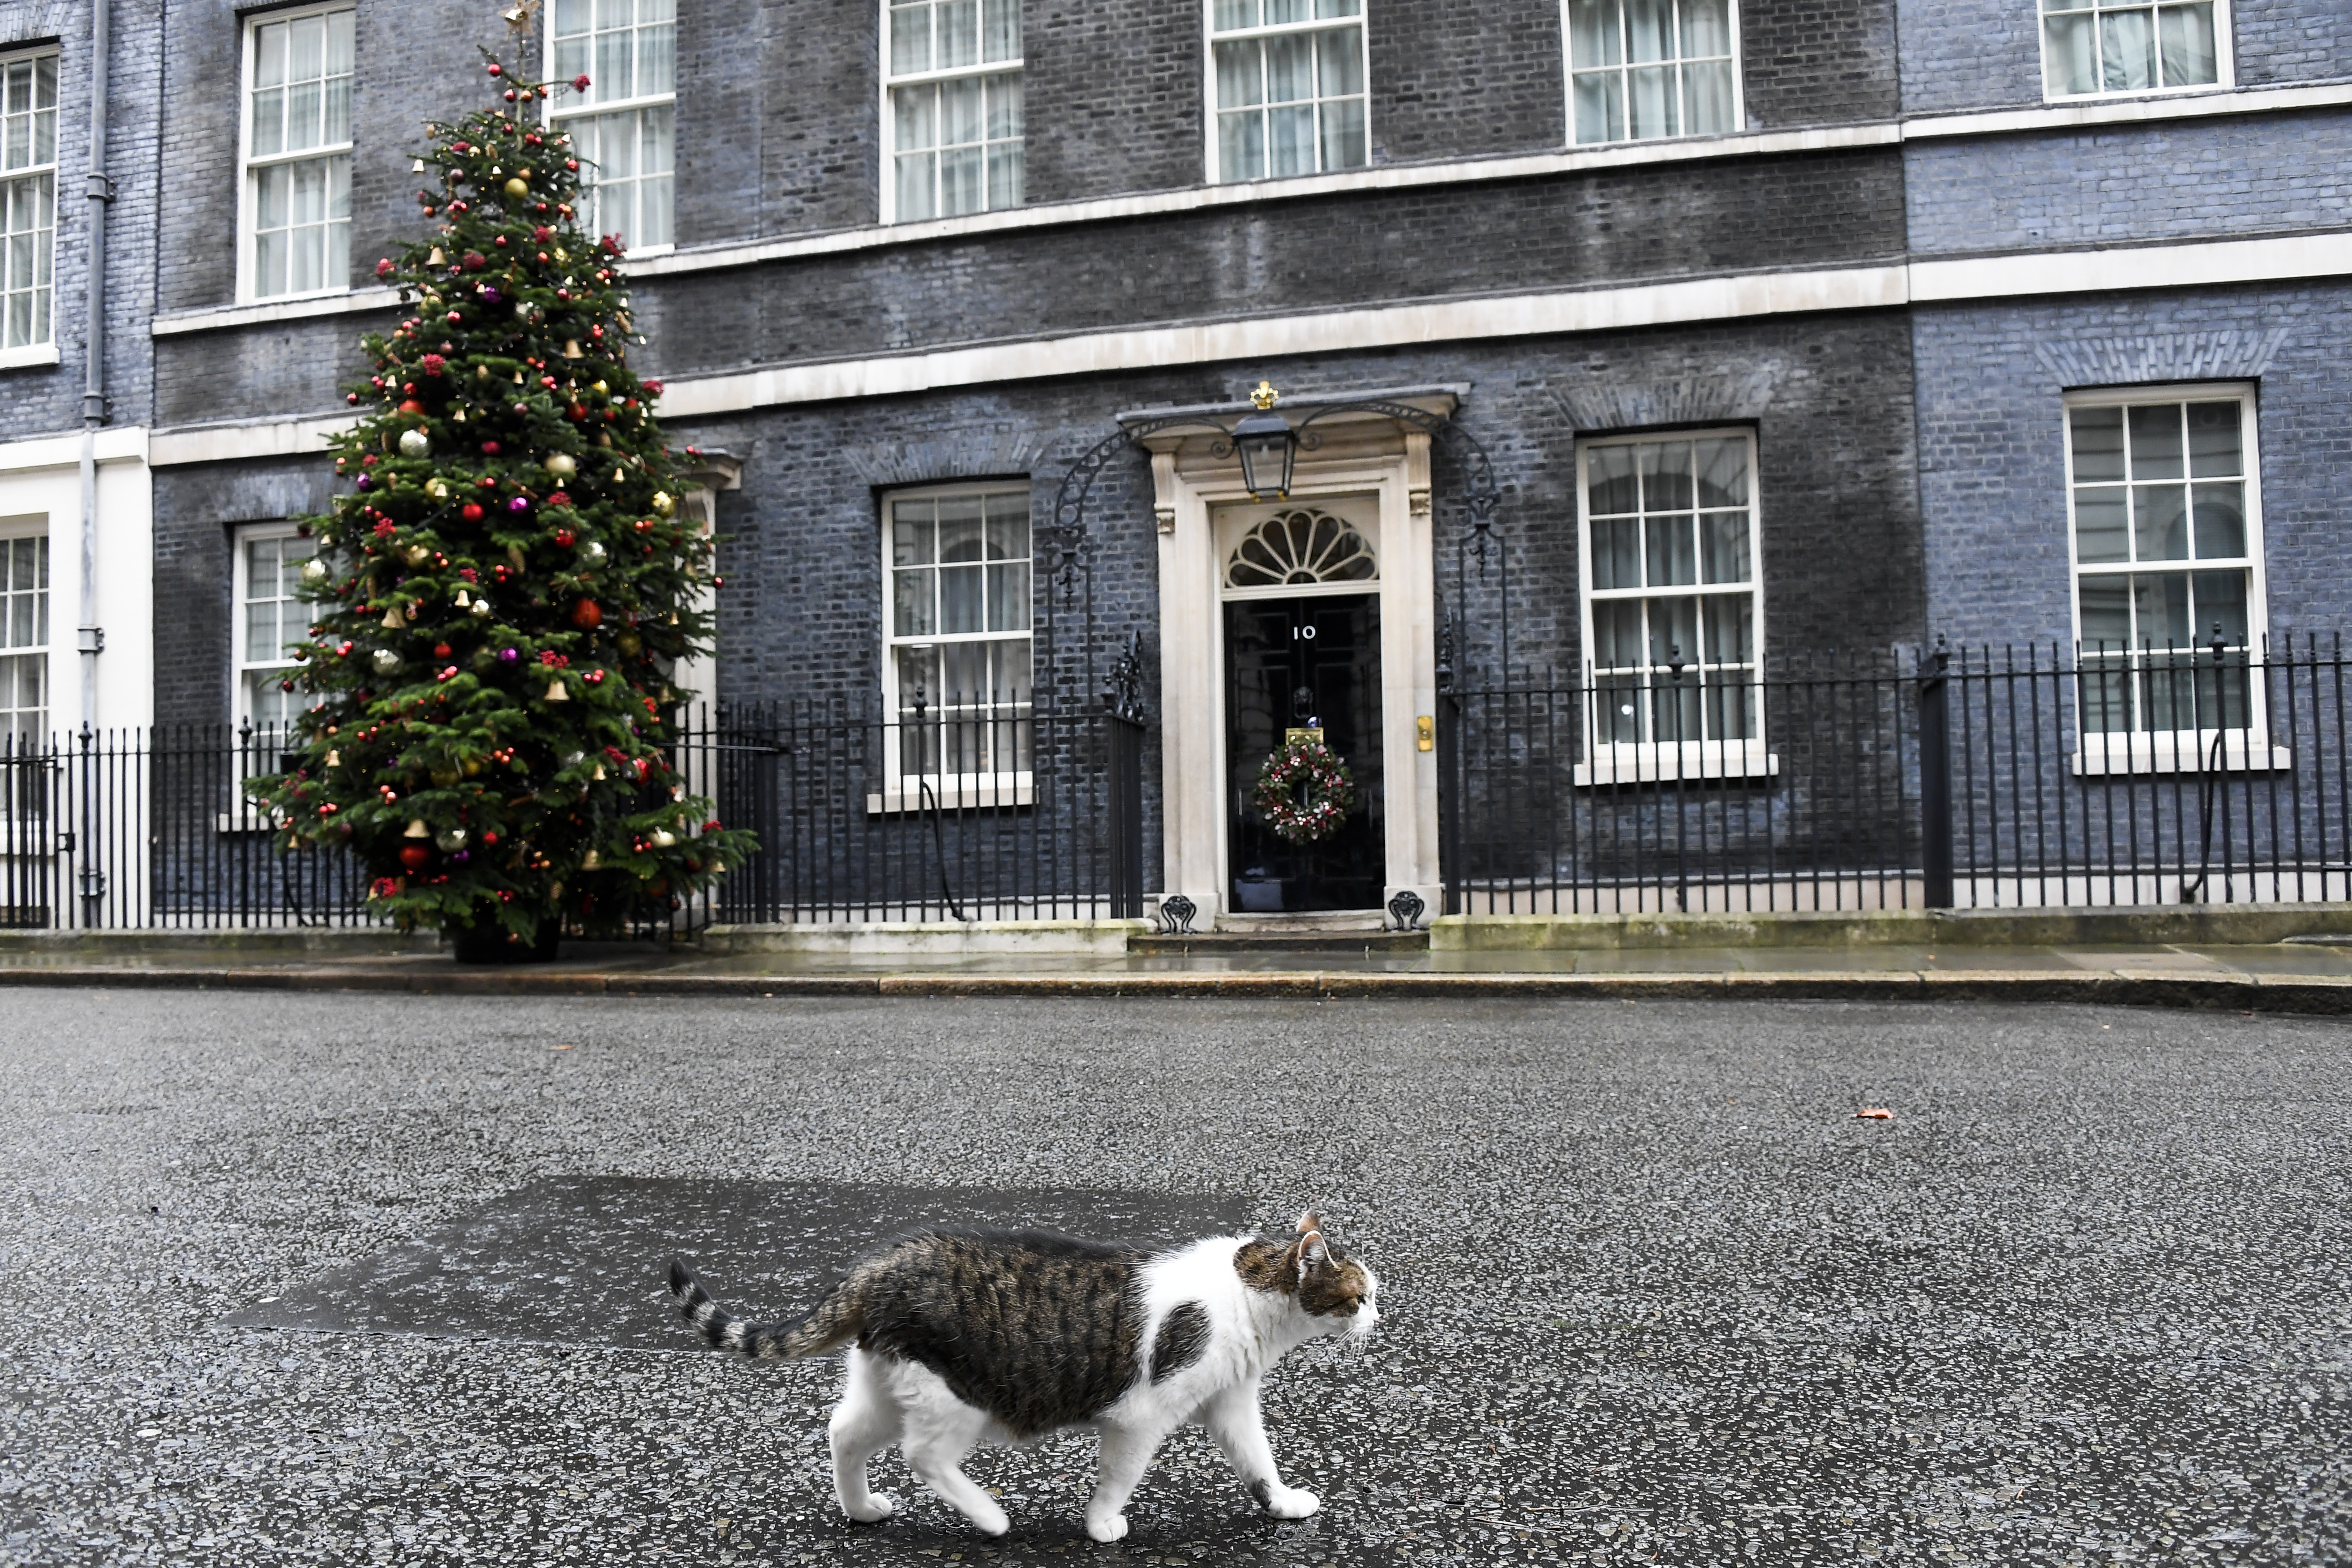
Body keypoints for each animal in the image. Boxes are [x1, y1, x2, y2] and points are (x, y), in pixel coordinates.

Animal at [668, 1213, 1373, 1542]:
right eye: (1360, 1295)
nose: (1380, 1314)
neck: (1248, 1291)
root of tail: (880, 1264)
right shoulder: (1140, 1416)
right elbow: (1119, 1478)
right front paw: (1102, 1525)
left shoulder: (1230, 1403)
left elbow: (1259, 1462)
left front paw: (1282, 1505)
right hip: (958, 1399)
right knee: (924, 1456)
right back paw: (990, 1518)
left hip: (889, 1384)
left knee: (843, 1432)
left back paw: (862, 1509)